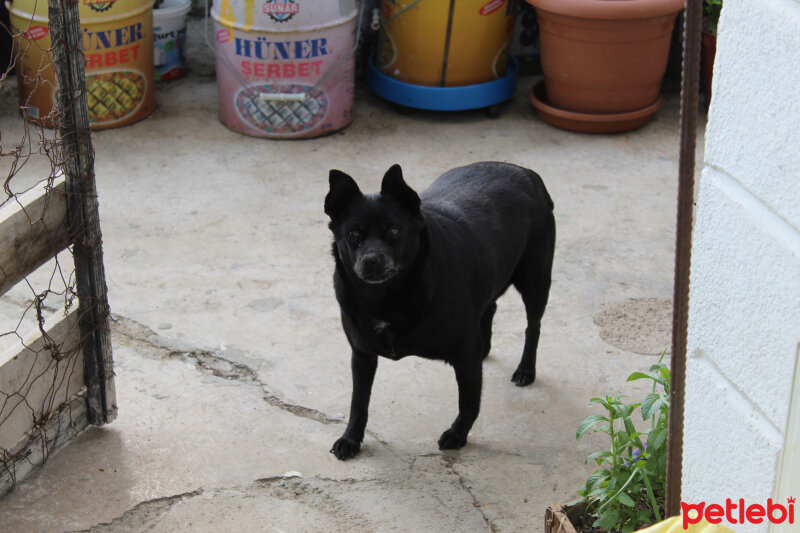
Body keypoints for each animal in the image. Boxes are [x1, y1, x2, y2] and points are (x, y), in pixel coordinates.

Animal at [322, 162, 552, 458]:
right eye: (352, 235)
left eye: (394, 231)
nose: (371, 260)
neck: (387, 297)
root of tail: (526, 172)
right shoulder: (362, 355)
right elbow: (358, 403)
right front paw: (351, 439)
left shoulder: (464, 356)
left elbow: (469, 401)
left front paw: (458, 434)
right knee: (489, 306)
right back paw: (486, 348)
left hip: (535, 281)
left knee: (533, 327)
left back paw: (525, 370)